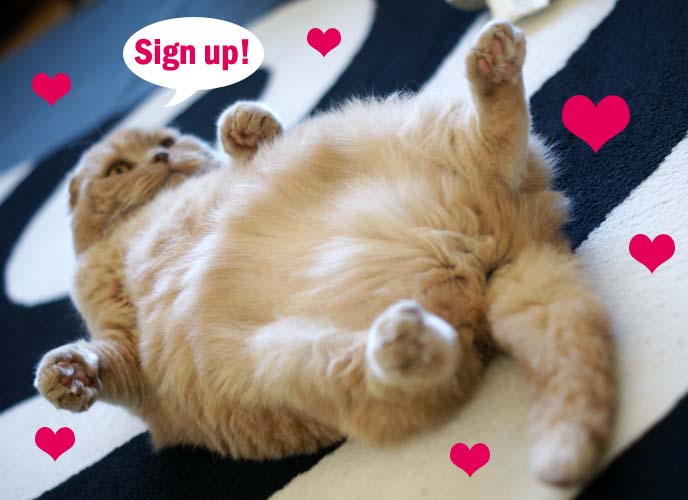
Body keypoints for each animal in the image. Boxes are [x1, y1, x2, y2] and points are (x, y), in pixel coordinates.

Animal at [33, 21, 612, 486]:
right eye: (117, 169)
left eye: (171, 142)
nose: (161, 156)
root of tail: (490, 244)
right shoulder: (127, 353)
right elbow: (101, 360)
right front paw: (66, 376)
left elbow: (247, 142)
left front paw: (244, 125)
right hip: (281, 362)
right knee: (423, 368)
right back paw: (407, 340)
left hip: (399, 130)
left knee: (496, 144)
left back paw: (494, 66)